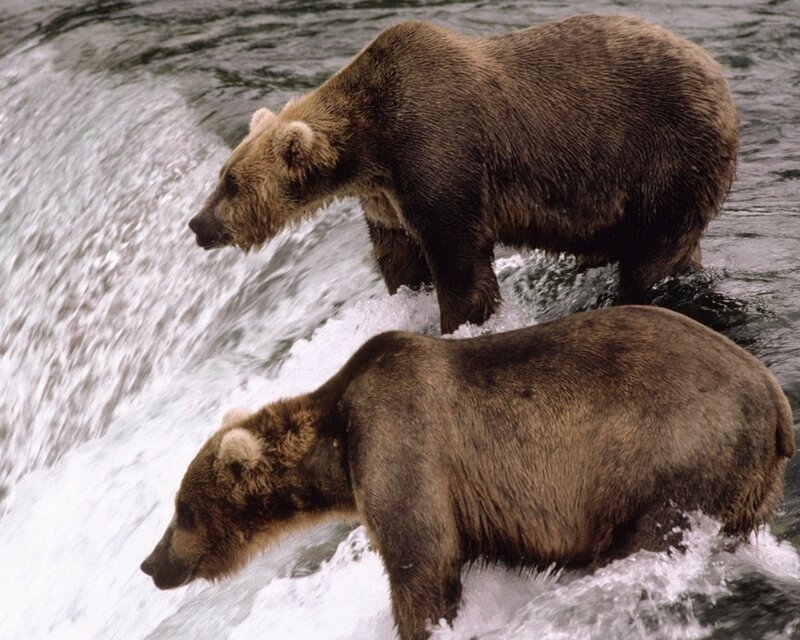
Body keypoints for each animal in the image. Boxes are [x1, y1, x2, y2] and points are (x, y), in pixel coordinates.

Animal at [141, 306, 793, 640]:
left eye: (182, 510)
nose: (151, 563)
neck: (337, 445)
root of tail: (776, 401)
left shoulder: (402, 443)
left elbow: (421, 563)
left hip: (672, 459)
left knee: (651, 537)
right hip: (743, 485)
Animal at [187, 15, 739, 334]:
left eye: (232, 184)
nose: (197, 224)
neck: (371, 147)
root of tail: (718, 73)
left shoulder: (438, 154)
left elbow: (458, 260)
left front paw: (461, 322)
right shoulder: (386, 198)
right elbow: (400, 258)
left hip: (664, 154)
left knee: (653, 254)